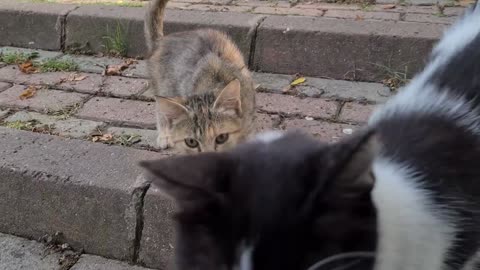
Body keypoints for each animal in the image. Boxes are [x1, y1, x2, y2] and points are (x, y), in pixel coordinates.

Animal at [143, 0, 255, 153]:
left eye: (221, 137)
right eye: (191, 142)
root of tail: (161, 41)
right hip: (164, 86)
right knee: (161, 110)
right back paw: (165, 135)